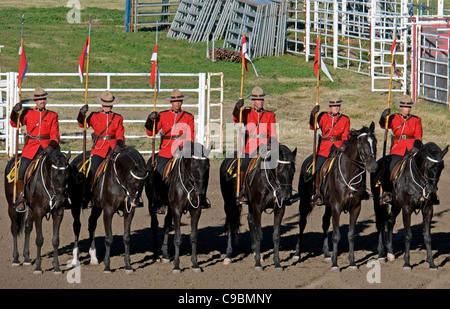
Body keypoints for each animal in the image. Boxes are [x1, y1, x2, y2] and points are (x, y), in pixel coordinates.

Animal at [146, 141, 213, 274]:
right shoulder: (177, 210)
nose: (201, 192)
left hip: (170, 207)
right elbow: (177, 238)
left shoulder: (196, 210)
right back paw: (156, 255)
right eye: (194, 166)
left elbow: (194, 236)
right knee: (154, 225)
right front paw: (176, 265)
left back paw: (165, 255)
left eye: (207, 166)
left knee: (166, 224)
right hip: (152, 204)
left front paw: (195, 264)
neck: (189, 183)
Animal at [294, 121, 378, 270]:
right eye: (362, 143)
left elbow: (351, 235)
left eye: (375, 142)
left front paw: (352, 262)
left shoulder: (355, 208)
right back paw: (298, 254)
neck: (349, 173)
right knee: (302, 223)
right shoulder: (337, 207)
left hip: (328, 206)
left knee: (325, 223)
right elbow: (336, 235)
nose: (373, 167)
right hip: (305, 201)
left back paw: (327, 254)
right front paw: (335, 264)